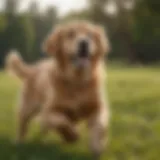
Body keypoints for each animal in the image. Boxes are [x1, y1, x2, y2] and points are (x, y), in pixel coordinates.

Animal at [5, 20, 110, 158]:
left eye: (90, 35)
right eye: (70, 34)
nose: (84, 43)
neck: (77, 80)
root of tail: (34, 68)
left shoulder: (98, 107)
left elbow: (99, 126)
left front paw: (97, 146)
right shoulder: (48, 112)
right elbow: (62, 121)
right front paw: (72, 136)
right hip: (27, 108)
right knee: (23, 124)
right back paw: (18, 142)